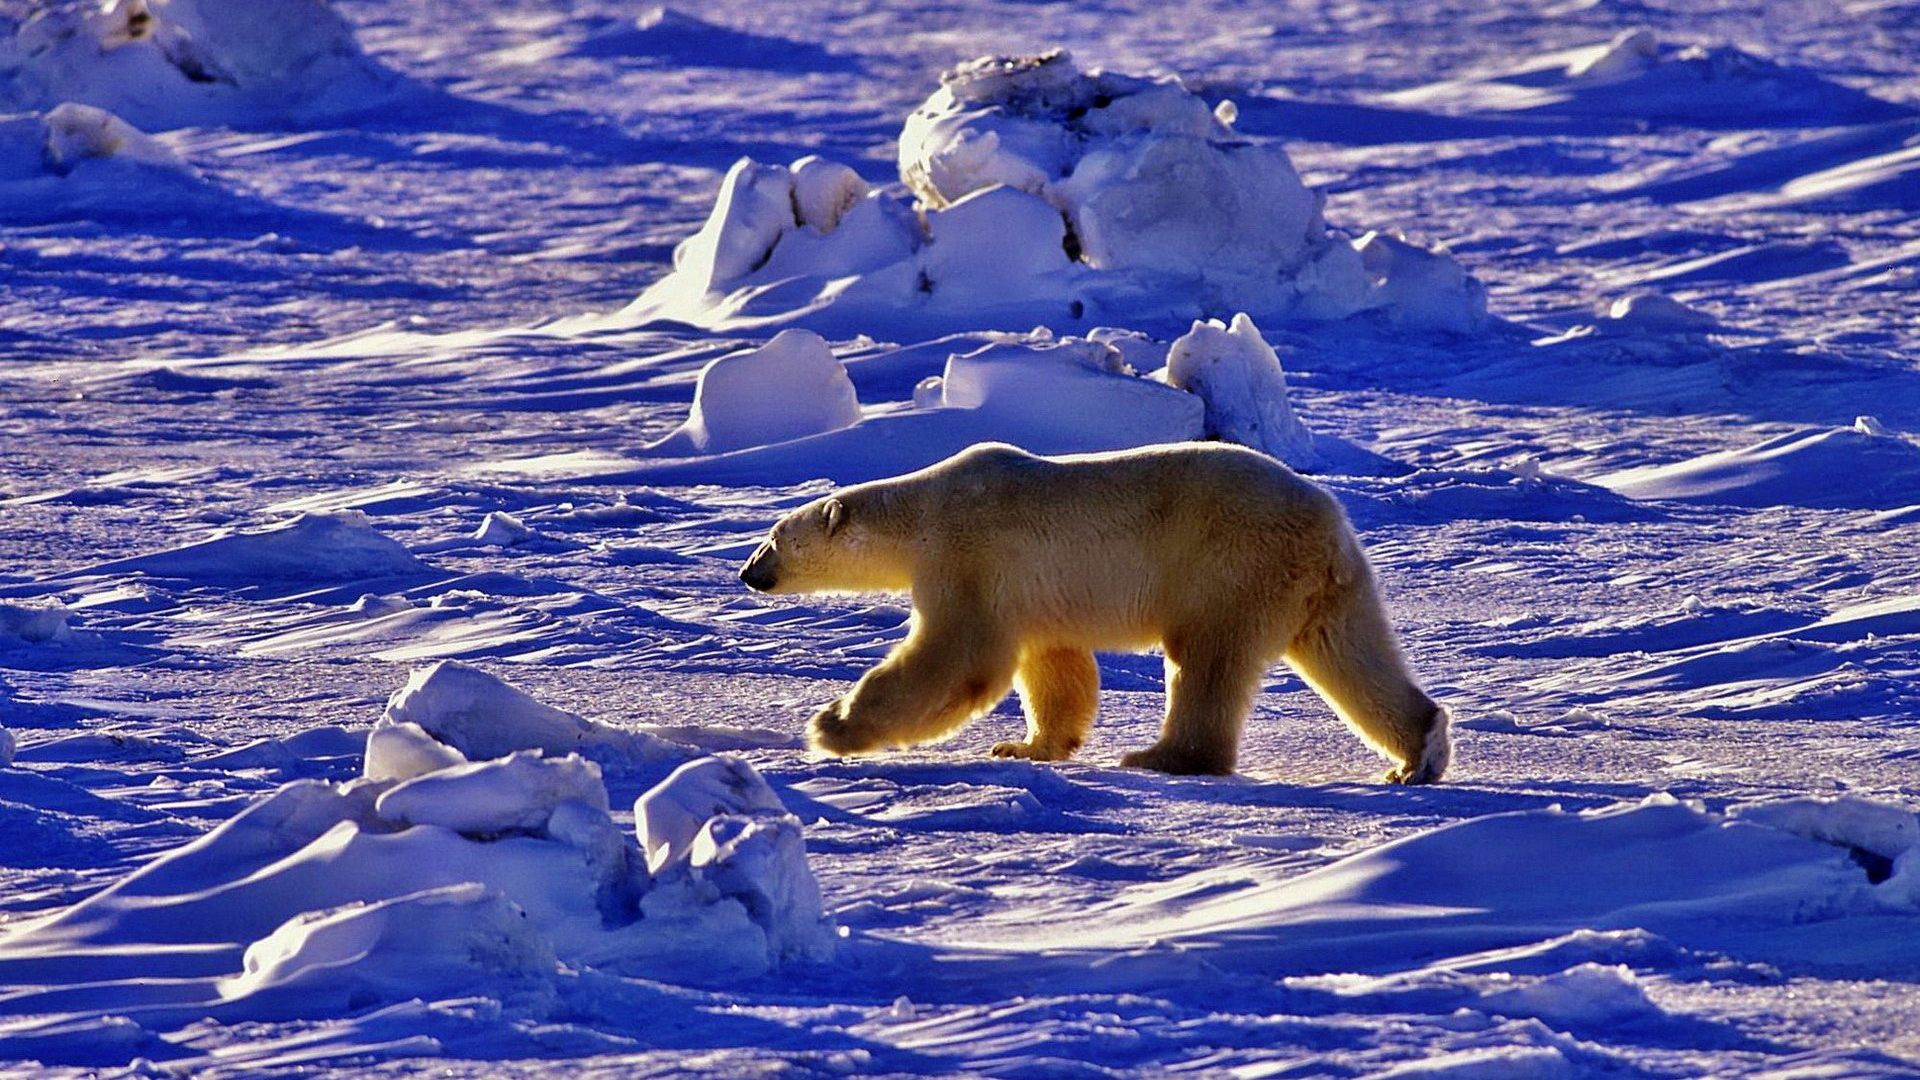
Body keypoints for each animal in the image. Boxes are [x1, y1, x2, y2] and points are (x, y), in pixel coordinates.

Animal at [741, 440, 1443, 780]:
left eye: (774, 537)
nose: (748, 573)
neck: (923, 511)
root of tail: (1328, 522)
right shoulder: (1031, 593)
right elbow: (1055, 666)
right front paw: (1026, 746)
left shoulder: (968, 556)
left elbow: (959, 657)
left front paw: (831, 725)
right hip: (1327, 587)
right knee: (1352, 653)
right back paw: (1418, 754)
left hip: (1230, 565)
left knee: (1206, 661)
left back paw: (1163, 757)